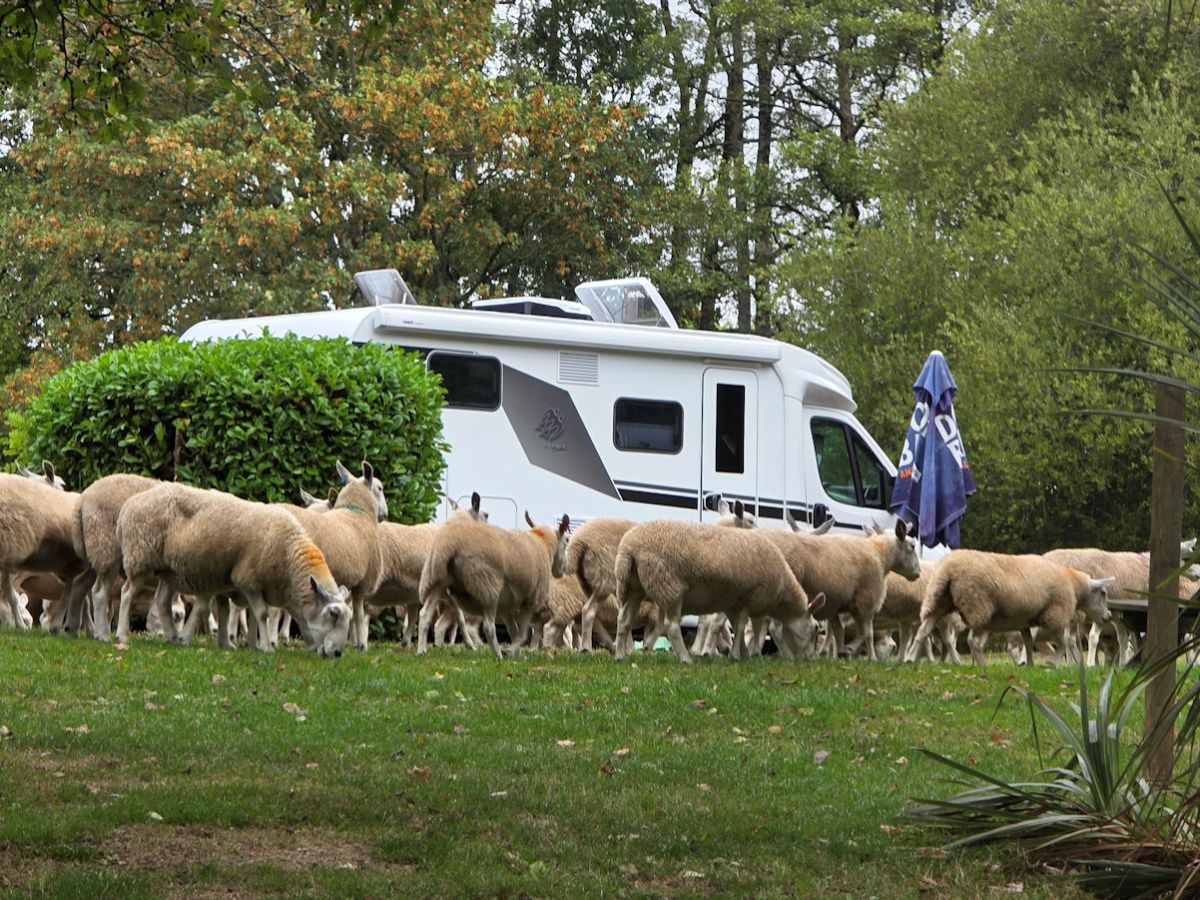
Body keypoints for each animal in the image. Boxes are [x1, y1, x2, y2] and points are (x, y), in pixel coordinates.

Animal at [115, 482, 352, 656]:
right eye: (333, 613)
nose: (337, 654)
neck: (289, 557)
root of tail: (128, 505)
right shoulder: (247, 580)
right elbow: (261, 614)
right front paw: (266, 648)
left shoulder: (246, 584)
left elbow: (240, 614)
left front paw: (247, 645)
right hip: (140, 558)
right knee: (127, 594)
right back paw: (122, 636)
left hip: (166, 570)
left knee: (163, 602)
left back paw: (173, 637)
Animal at [417, 509, 571, 659]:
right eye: (566, 541)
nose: (563, 570)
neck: (543, 542)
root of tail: (451, 544)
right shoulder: (530, 602)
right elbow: (522, 635)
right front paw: (510, 652)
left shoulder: (508, 605)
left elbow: (513, 631)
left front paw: (518, 655)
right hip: (488, 587)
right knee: (488, 627)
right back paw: (498, 656)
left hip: (438, 579)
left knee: (424, 614)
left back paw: (421, 651)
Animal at [613, 520, 825, 664]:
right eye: (816, 628)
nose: (809, 659)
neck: (782, 592)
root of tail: (628, 549)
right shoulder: (749, 597)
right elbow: (740, 628)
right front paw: (737, 655)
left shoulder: (734, 604)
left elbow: (737, 628)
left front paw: (743, 654)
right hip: (669, 586)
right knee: (671, 626)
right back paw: (685, 658)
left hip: (632, 587)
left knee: (624, 620)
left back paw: (620, 656)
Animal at [904, 549, 1114, 666]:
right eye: (1103, 593)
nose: (1108, 616)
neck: (1074, 586)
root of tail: (948, 569)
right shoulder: (1054, 616)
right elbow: (1062, 645)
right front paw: (1052, 664)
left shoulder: (1026, 621)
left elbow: (1028, 642)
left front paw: (1029, 665)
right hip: (978, 605)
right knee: (973, 641)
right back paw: (983, 665)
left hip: (938, 599)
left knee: (923, 630)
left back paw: (910, 659)